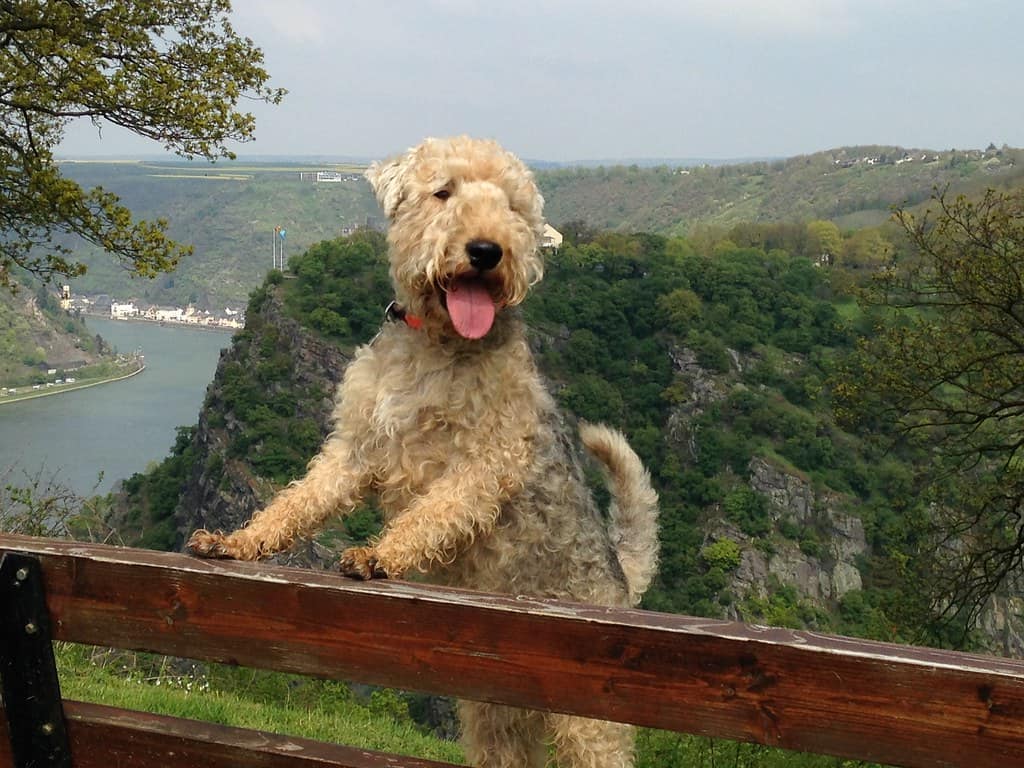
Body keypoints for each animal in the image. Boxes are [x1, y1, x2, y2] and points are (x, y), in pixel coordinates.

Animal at [188, 135, 659, 765]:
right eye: (444, 191)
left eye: (513, 205)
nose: (487, 250)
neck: (437, 346)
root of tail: (619, 580)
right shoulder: (356, 449)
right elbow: (297, 502)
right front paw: (236, 541)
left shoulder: (485, 462)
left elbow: (430, 514)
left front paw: (377, 556)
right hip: (495, 711)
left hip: (588, 725)